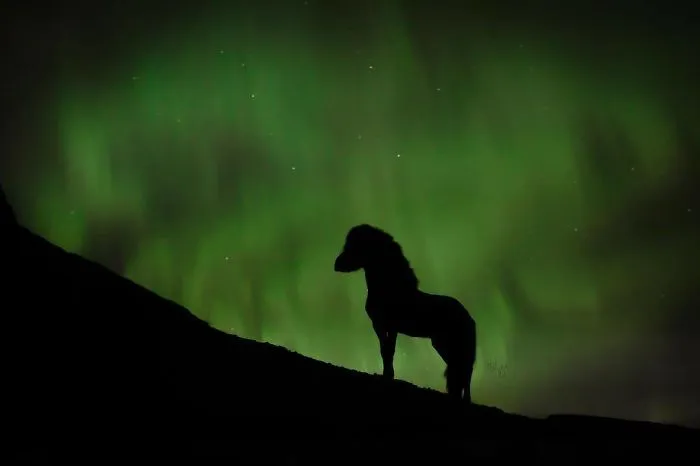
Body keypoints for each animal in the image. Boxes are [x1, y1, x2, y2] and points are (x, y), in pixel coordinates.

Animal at [334, 224, 477, 402]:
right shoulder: (383, 326)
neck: (392, 288)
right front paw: (388, 375)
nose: (336, 264)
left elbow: (388, 351)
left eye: (354, 246)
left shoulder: (386, 325)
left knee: (463, 371)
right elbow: (386, 351)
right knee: (462, 372)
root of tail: (469, 317)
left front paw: (387, 376)